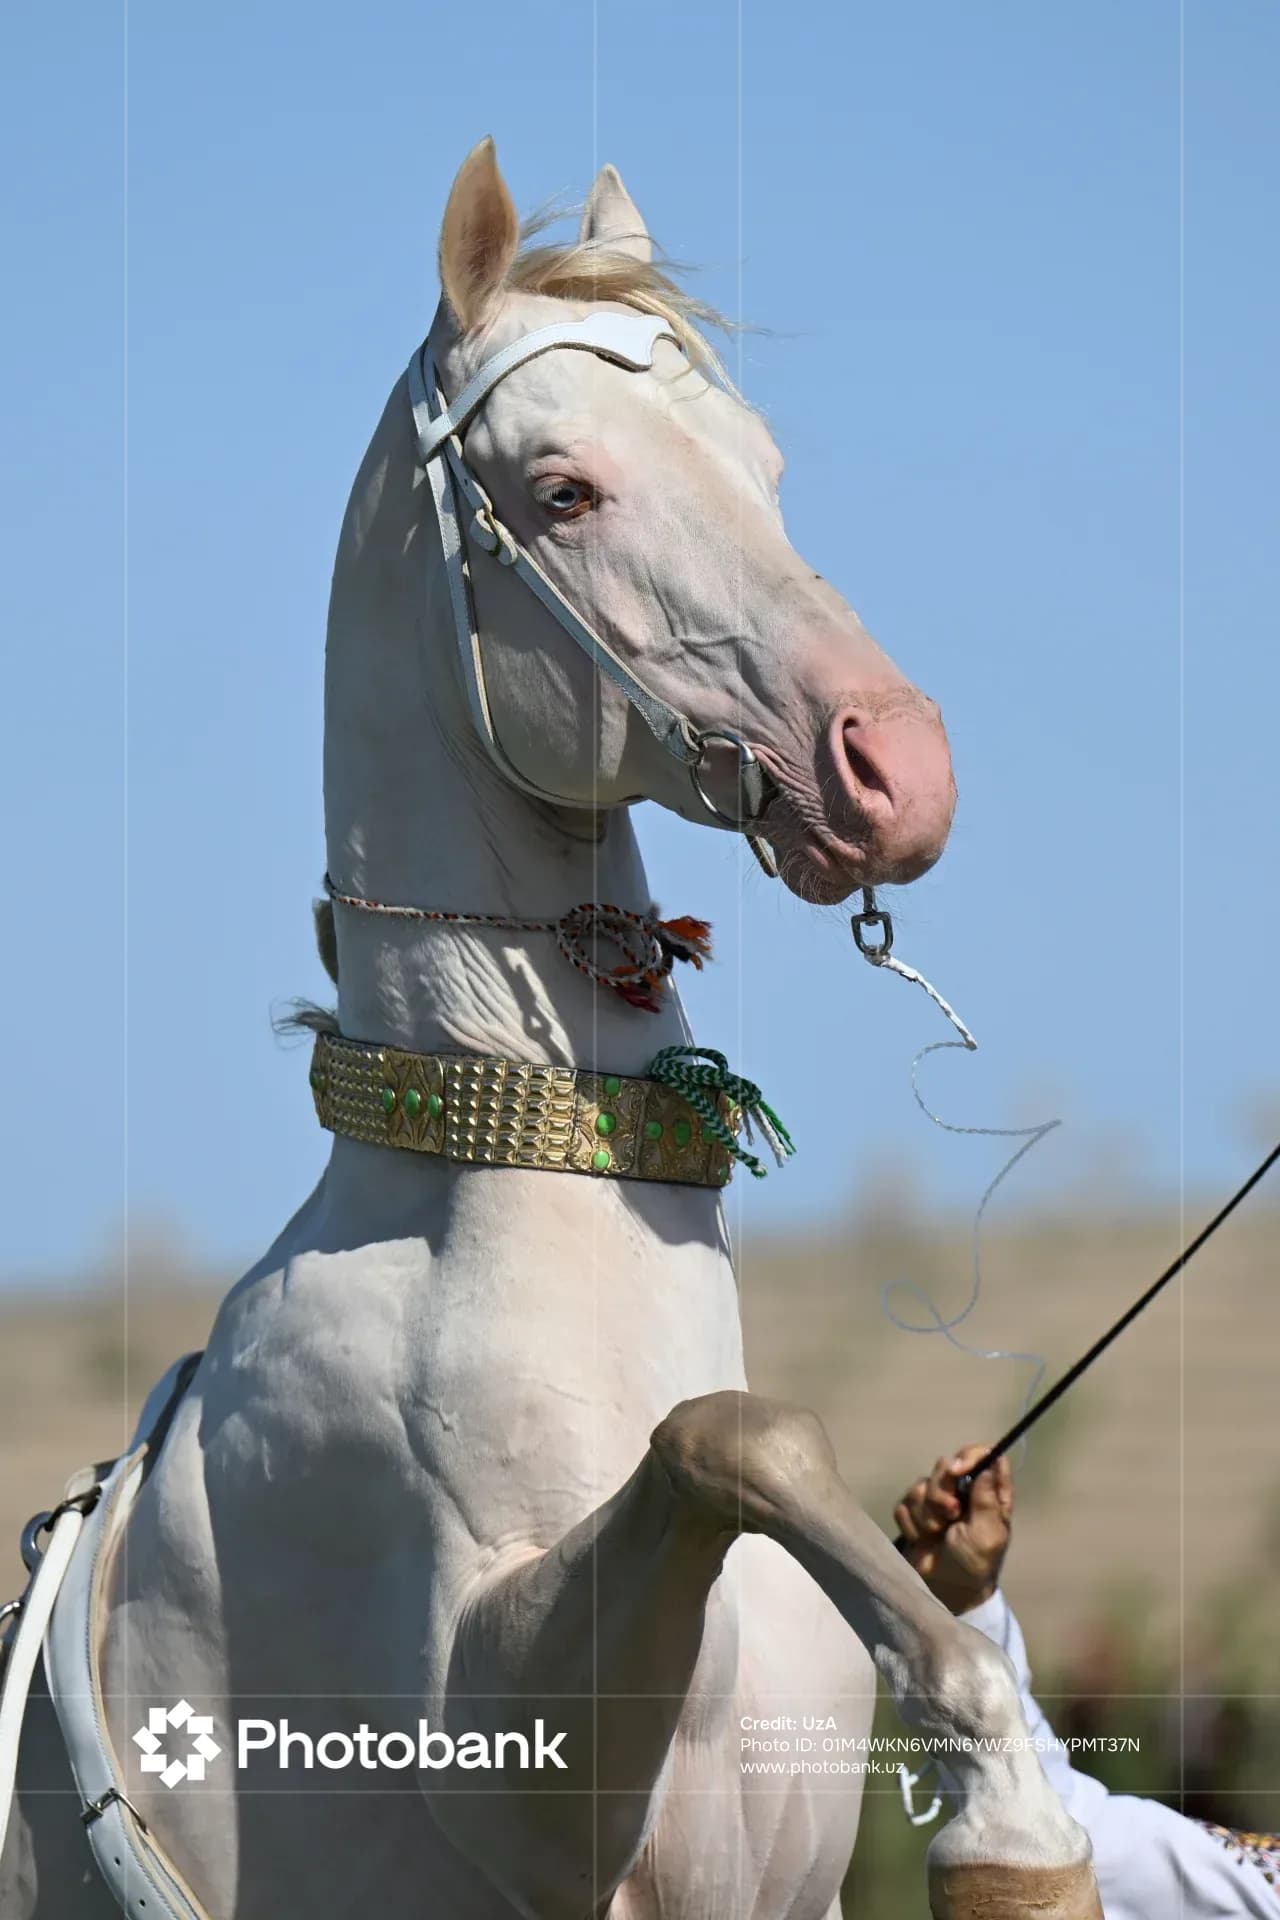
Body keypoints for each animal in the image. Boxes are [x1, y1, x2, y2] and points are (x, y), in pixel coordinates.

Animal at [0, 140, 1101, 1920]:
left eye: (764, 465)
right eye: (566, 491)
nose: (897, 767)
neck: (498, 1200)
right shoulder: (514, 1764)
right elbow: (736, 1434)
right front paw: (1007, 1820)